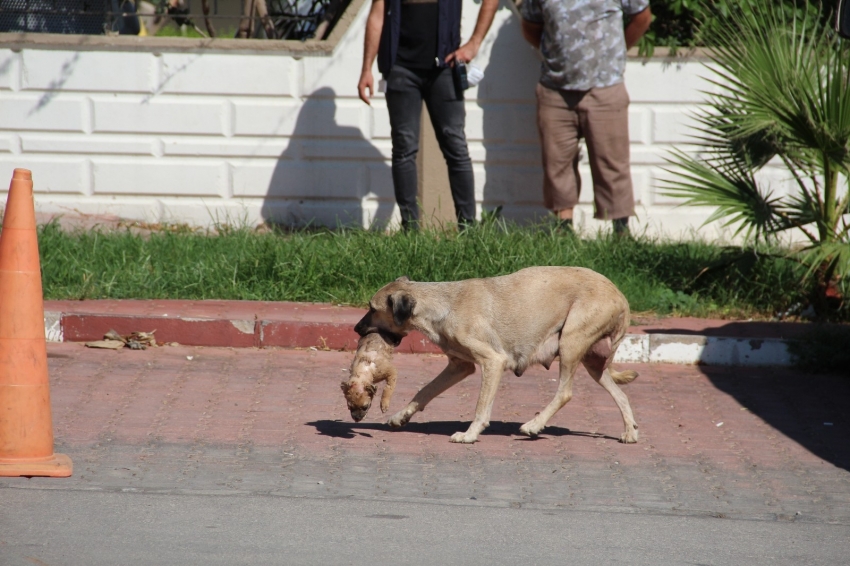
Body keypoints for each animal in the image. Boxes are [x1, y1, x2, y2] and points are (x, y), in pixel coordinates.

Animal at [352, 268, 636, 446]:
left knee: (565, 393)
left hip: (570, 343)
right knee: (620, 394)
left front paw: (469, 434)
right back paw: (630, 431)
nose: (356, 329)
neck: (443, 305)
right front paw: (402, 416)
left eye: (372, 308)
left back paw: (534, 425)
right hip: (591, 360)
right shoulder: (459, 367)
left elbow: (481, 408)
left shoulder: (493, 362)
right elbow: (425, 391)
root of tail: (621, 296)